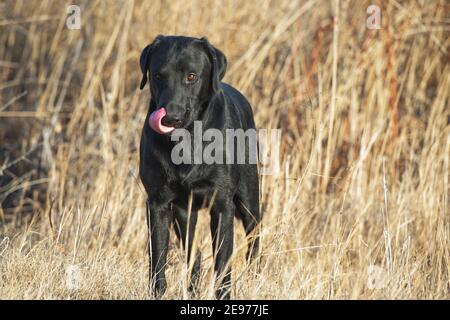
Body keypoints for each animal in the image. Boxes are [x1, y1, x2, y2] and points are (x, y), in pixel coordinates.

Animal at [139, 33, 262, 298]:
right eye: (158, 76)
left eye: (191, 76)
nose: (170, 117)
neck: (187, 139)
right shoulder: (158, 203)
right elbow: (158, 257)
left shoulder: (222, 205)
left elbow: (223, 261)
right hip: (184, 213)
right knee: (193, 254)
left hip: (249, 201)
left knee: (254, 245)